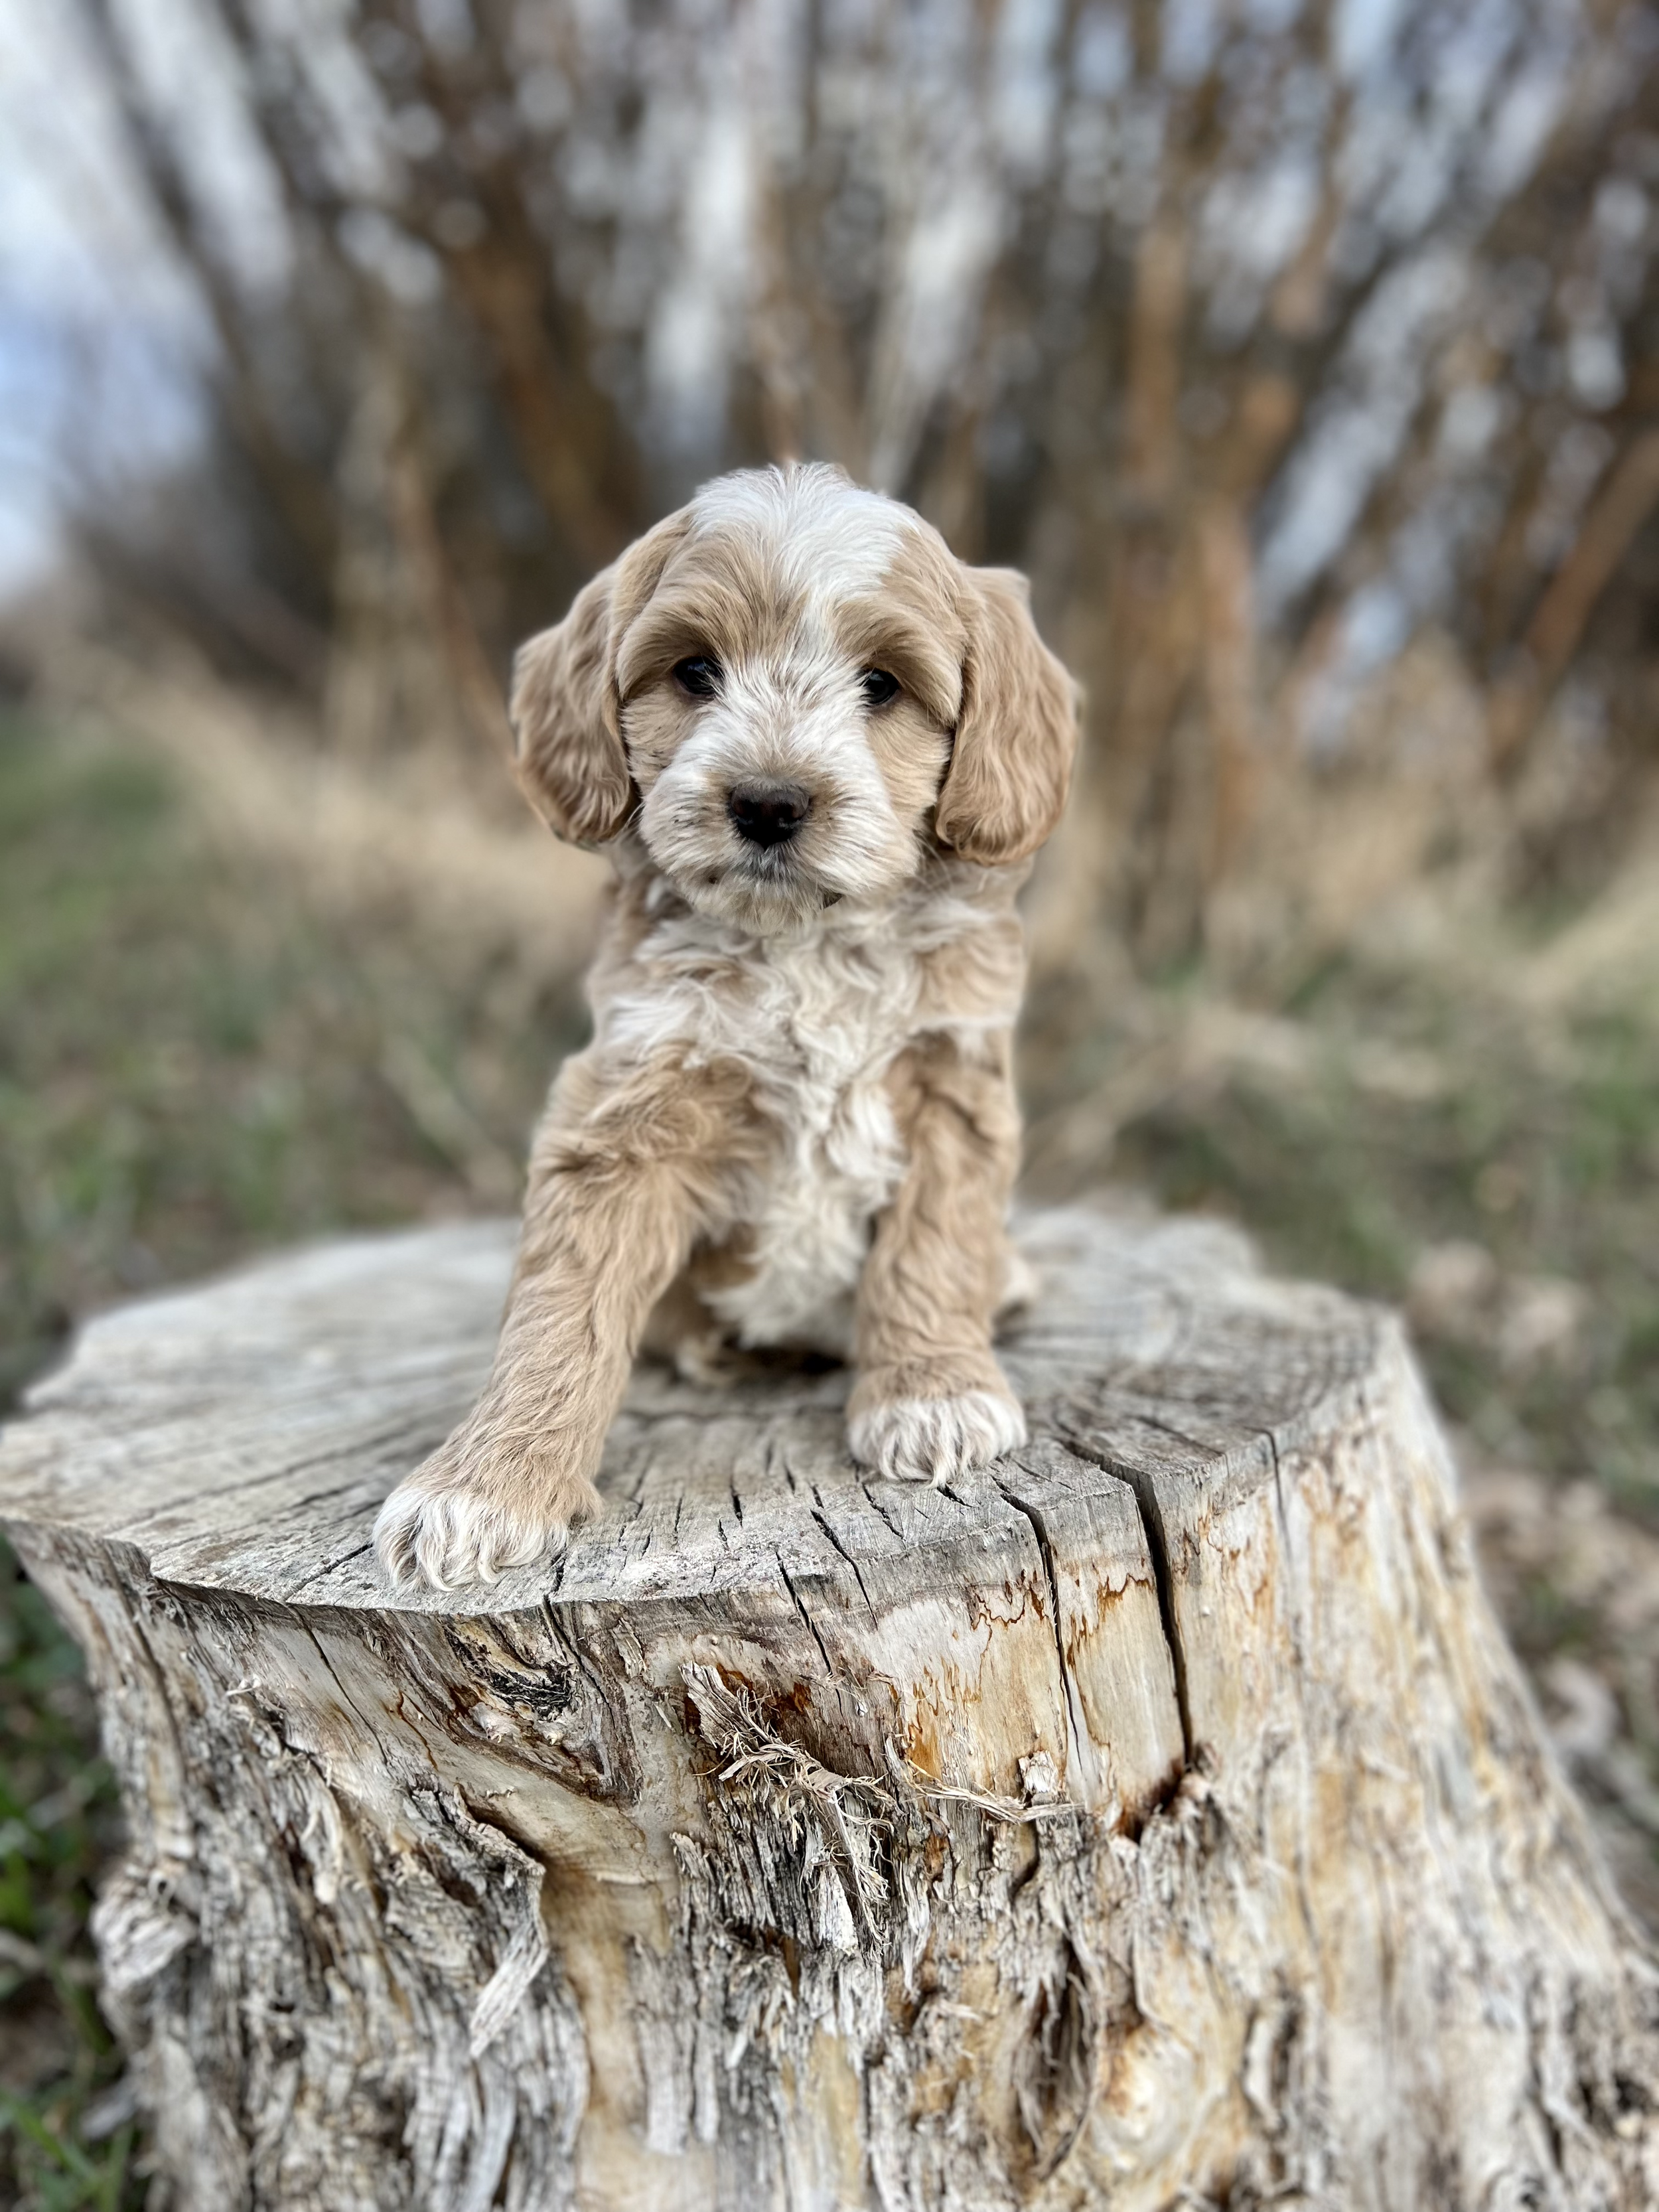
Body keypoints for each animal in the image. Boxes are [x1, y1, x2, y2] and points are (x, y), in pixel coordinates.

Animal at [374, 462, 1079, 1592]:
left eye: (883, 685)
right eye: (696, 671)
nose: (768, 802)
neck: (802, 940)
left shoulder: (949, 1080)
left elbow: (932, 1242)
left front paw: (933, 1393)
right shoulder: (630, 1099)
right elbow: (559, 1310)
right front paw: (485, 1488)